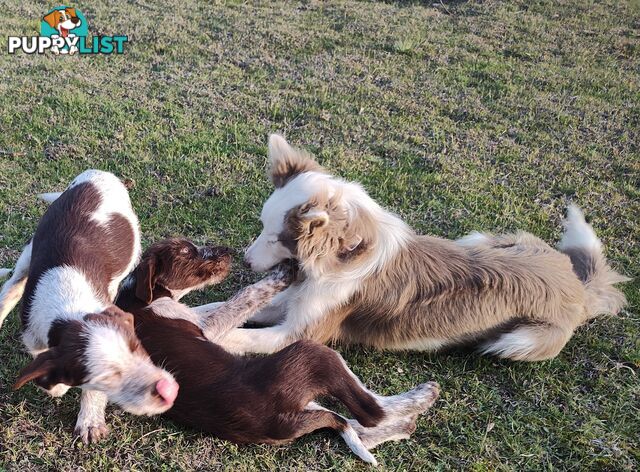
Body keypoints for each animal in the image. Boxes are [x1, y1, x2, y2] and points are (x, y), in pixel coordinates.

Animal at [0, 170, 179, 442]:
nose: (170, 391)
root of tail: (96, 173)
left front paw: (90, 420)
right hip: (31, 250)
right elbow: (47, 367)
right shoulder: (34, 337)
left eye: (137, 347)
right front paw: (60, 387)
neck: (68, 306)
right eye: (104, 378)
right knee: (13, 284)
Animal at [116, 240, 440, 464]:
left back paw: (404, 423)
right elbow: (244, 297)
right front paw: (283, 273)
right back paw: (422, 396)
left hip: (309, 404)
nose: (226, 251)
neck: (136, 297)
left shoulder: (199, 318)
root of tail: (277, 422)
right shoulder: (208, 328)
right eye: (186, 251)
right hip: (311, 356)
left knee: (351, 423)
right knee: (369, 411)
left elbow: (212, 305)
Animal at [211, 134, 632, 362]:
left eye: (273, 237)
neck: (343, 258)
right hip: (484, 237)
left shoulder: (300, 332)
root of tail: (577, 284)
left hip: (519, 340)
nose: (244, 260)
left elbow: (241, 336)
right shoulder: (292, 299)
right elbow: (220, 307)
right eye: (263, 228)